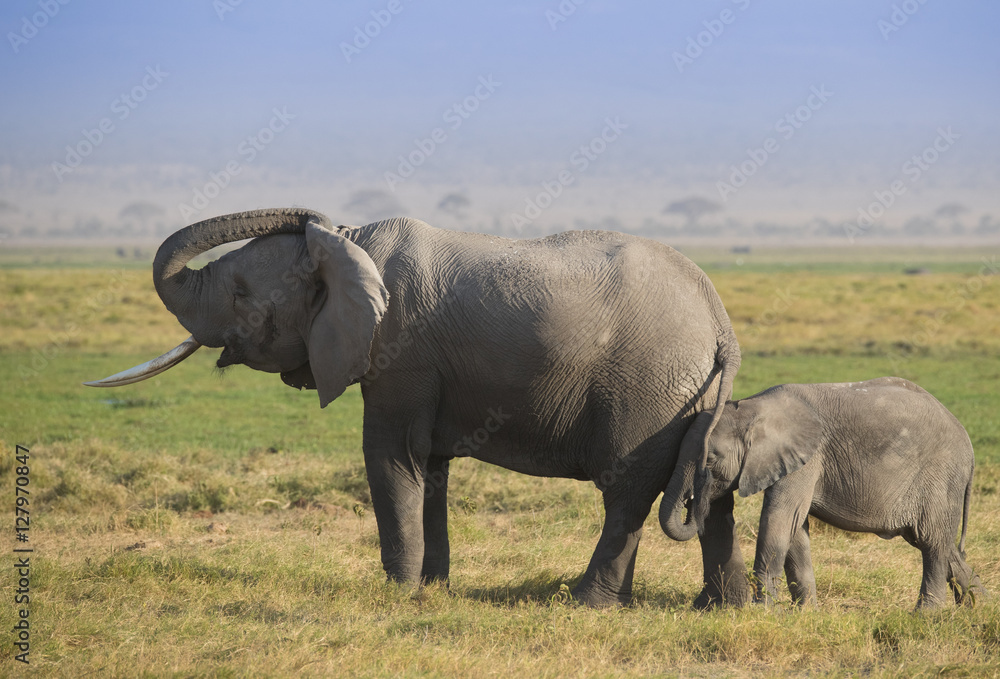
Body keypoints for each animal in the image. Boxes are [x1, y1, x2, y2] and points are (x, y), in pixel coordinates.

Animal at [87, 207, 751, 608]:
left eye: (240, 294)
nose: (315, 217)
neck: (349, 249)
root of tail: (722, 326)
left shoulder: (399, 353)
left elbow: (389, 458)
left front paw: (397, 595)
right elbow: (427, 468)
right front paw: (433, 588)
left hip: (647, 393)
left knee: (625, 495)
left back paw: (583, 601)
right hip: (683, 401)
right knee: (699, 493)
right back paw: (715, 607)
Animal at [661, 376, 984, 608]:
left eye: (710, 460)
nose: (695, 504)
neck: (753, 407)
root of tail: (968, 446)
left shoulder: (807, 459)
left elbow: (779, 521)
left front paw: (760, 611)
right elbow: (795, 529)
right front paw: (805, 613)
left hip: (940, 476)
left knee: (931, 542)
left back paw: (926, 615)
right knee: (939, 542)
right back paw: (979, 609)